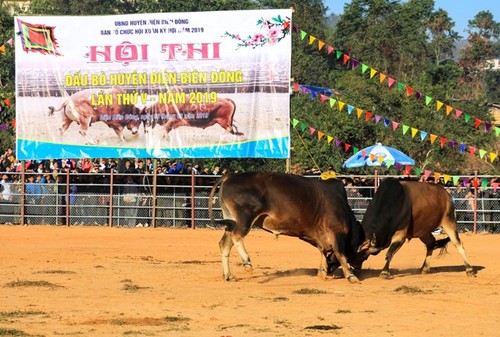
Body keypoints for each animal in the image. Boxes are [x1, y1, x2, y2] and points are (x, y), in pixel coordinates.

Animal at [209, 172, 366, 282]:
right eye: (363, 255)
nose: (359, 269)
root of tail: (231, 176)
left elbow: (323, 251)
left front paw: (323, 272)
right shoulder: (337, 231)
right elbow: (340, 253)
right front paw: (351, 276)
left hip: (231, 220)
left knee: (224, 244)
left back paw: (229, 276)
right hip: (245, 218)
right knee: (237, 236)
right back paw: (247, 263)